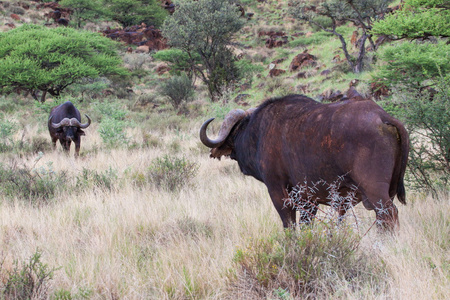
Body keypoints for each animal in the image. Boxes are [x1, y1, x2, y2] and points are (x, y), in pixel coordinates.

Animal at [199, 88, 410, 230]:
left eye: (235, 130)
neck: (257, 133)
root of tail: (382, 117)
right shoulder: (309, 200)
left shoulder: (277, 190)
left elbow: (289, 224)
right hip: (388, 191)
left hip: (376, 192)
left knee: (389, 215)